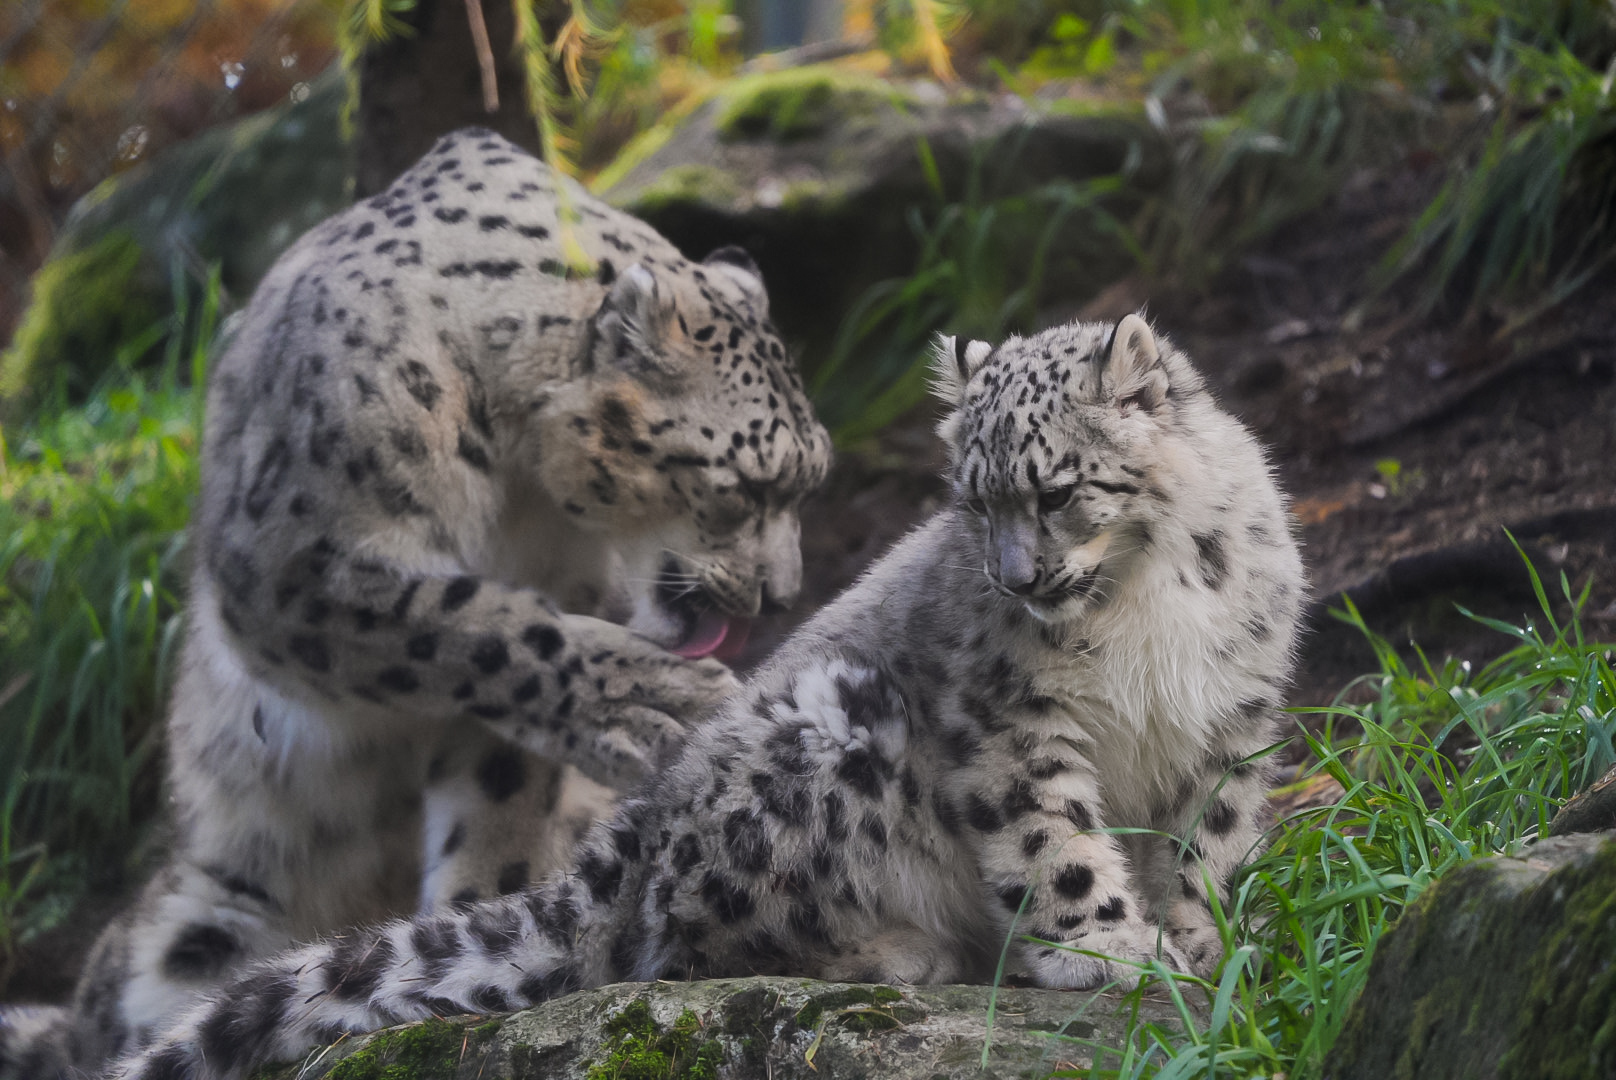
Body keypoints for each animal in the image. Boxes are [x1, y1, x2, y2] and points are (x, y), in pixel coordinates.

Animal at [0, 128, 831, 1080]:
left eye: (809, 481)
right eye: (749, 486)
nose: (782, 592)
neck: (520, 492)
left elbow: (499, 797)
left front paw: (468, 935)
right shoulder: (296, 556)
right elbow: (467, 627)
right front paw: (656, 700)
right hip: (191, 923)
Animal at [104, 313, 1304, 1080]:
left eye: (1055, 491)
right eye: (972, 499)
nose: (1015, 578)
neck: (1142, 599)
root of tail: (632, 831)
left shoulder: (1232, 716)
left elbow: (1210, 839)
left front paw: (1204, 938)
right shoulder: (1012, 725)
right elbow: (1054, 844)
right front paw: (1109, 953)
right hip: (827, 739)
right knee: (682, 951)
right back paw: (905, 953)